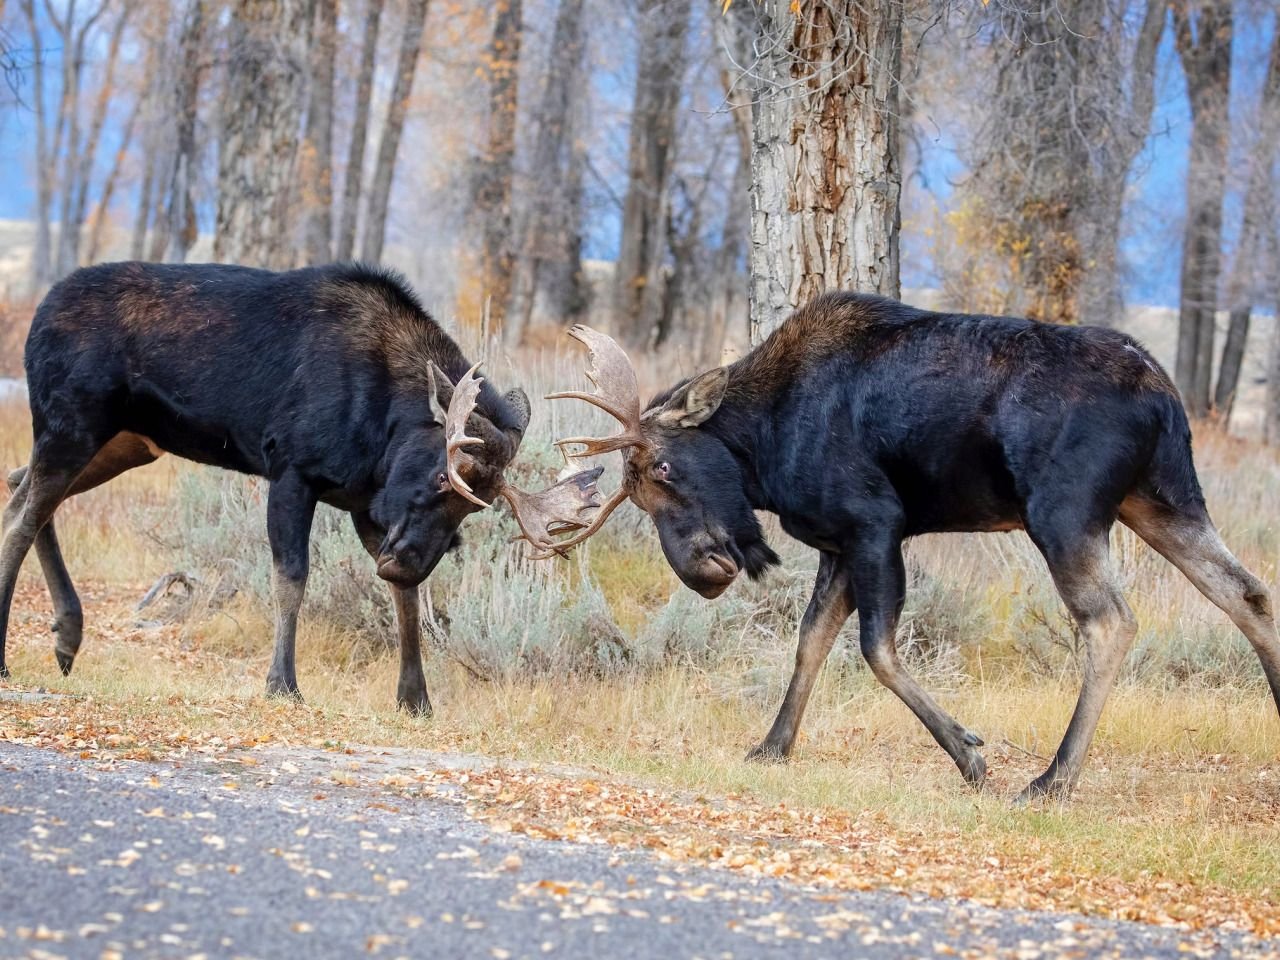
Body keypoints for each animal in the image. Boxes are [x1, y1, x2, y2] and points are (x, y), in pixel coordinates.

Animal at [0, 263, 601, 716]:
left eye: (476, 508)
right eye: (441, 475)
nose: (408, 561)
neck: (384, 427)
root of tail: (39, 315)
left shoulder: (366, 505)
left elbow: (405, 602)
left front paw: (415, 698)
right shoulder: (292, 470)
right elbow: (292, 577)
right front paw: (282, 683)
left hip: (127, 440)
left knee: (18, 487)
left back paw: (67, 634)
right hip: (73, 424)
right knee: (25, 515)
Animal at [547, 295, 1280, 803]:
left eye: (664, 468)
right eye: (636, 494)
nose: (700, 571)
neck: (760, 445)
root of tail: (1164, 394)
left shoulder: (875, 523)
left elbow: (875, 648)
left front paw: (969, 752)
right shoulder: (838, 545)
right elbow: (811, 643)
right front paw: (772, 746)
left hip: (1065, 513)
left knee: (1112, 621)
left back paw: (1052, 778)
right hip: (1162, 500)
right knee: (1246, 591)